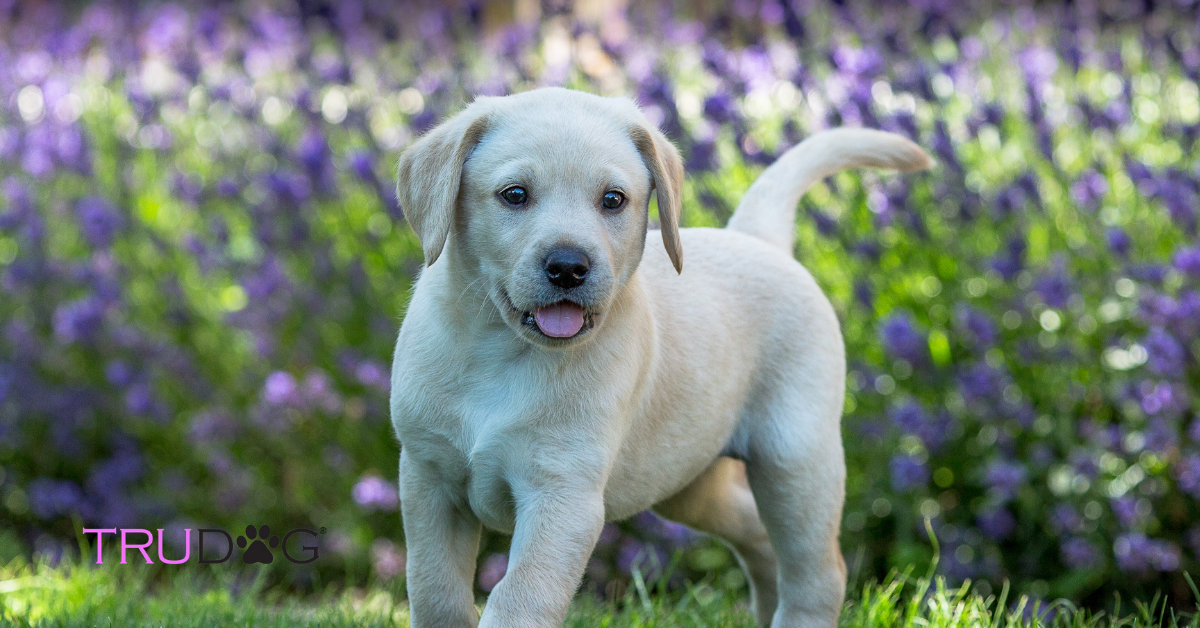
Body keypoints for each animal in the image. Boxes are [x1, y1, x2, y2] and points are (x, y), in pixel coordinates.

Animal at [388, 84, 931, 628]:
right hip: (691, 484)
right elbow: (434, 589)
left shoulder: (563, 496)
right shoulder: (428, 480)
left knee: (817, 572)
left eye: (613, 199)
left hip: (795, 461)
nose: (568, 266)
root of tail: (756, 238)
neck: (498, 350)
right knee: (758, 536)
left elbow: (521, 596)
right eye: (514, 195)